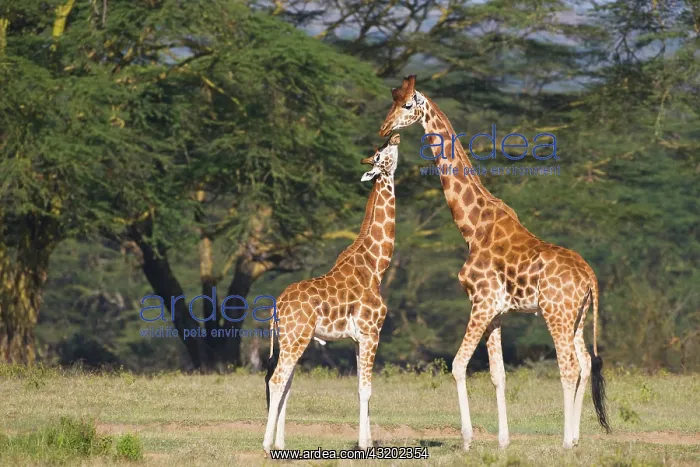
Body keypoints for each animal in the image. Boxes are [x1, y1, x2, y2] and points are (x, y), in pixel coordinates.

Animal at [263, 133, 401, 455]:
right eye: (381, 155)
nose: (395, 136)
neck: (376, 265)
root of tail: (277, 306)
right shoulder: (371, 332)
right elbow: (366, 388)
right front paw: (364, 445)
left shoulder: (357, 339)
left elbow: (360, 387)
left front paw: (366, 441)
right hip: (296, 338)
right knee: (276, 380)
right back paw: (266, 445)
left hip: (291, 340)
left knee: (285, 383)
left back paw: (281, 443)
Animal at [378, 75, 610, 450]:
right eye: (392, 100)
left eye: (408, 104)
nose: (384, 128)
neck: (472, 227)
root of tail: (590, 277)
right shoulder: (497, 311)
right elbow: (498, 375)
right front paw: (503, 441)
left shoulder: (481, 302)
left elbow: (458, 365)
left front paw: (467, 440)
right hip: (577, 317)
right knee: (587, 362)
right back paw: (574, 439)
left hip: (556, 314)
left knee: (570, 367)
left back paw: (564, 442)